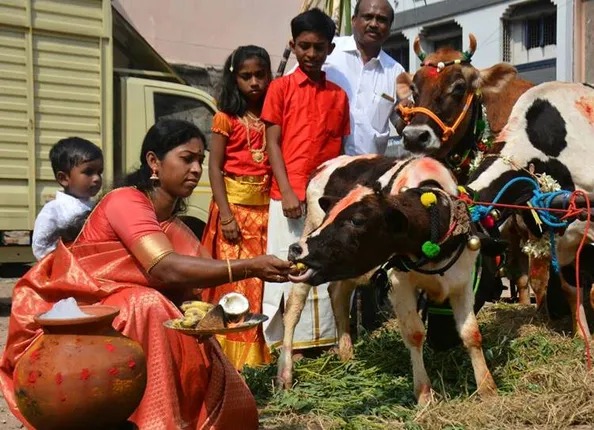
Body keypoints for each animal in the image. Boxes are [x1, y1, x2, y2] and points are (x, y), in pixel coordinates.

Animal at [282, 155, 494, 404]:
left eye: (357, 220)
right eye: (330, 215)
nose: (295, 249)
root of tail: (326, 164)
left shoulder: (462, 281)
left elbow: (471, 333)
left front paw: (487, 388)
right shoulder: (399, 284)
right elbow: (414, 333)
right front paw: (424, 394)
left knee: (338, 293)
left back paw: (347, 356)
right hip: (309, 236)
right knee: (293, 308)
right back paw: (284, 375)